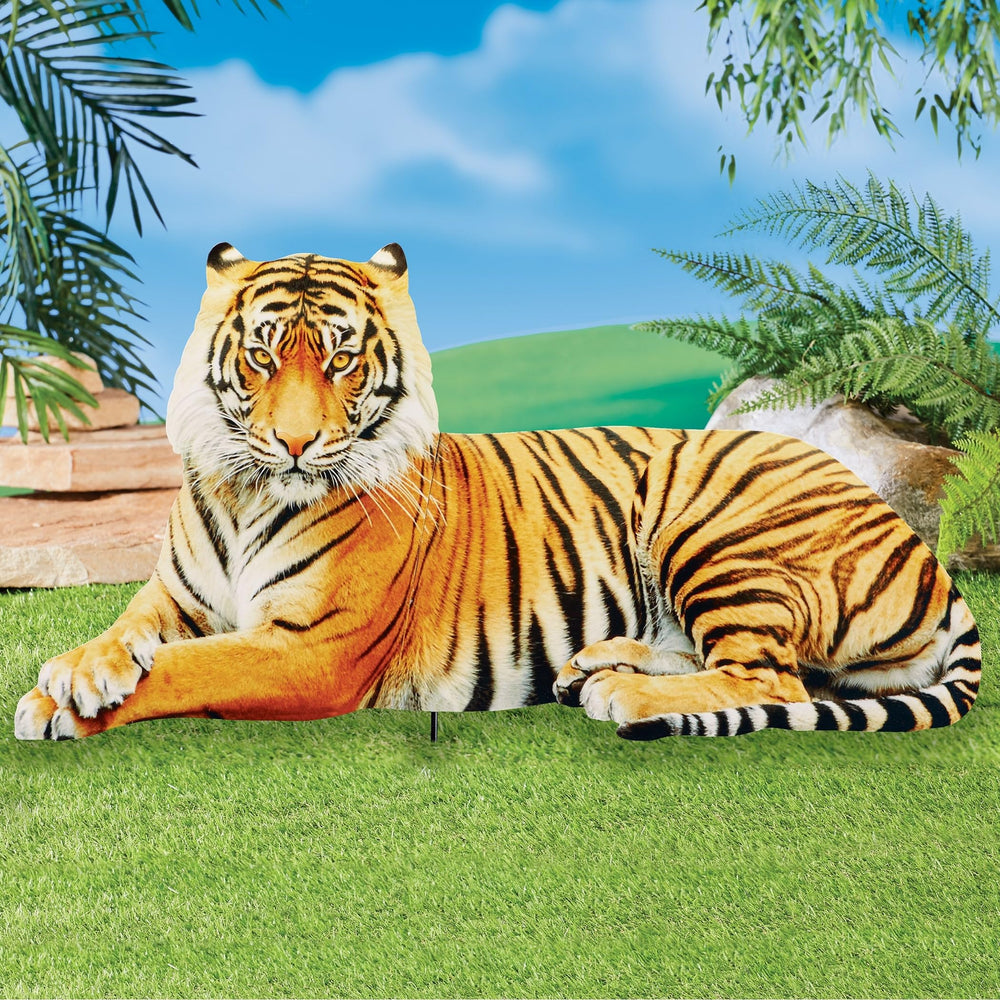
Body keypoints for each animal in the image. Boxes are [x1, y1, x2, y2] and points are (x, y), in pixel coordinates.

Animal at [14, 243, 981, 742]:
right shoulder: (173, 598)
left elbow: (191, 667)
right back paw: (601, 663)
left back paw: (623, 695)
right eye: (261, 354)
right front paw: (73, 674)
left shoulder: (309, 649)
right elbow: (126, 634)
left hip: (709, 517)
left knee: (770, 677)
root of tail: (920, 547)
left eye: (340, 359)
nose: (293, 442)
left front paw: (63, 702)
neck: (248, 492)